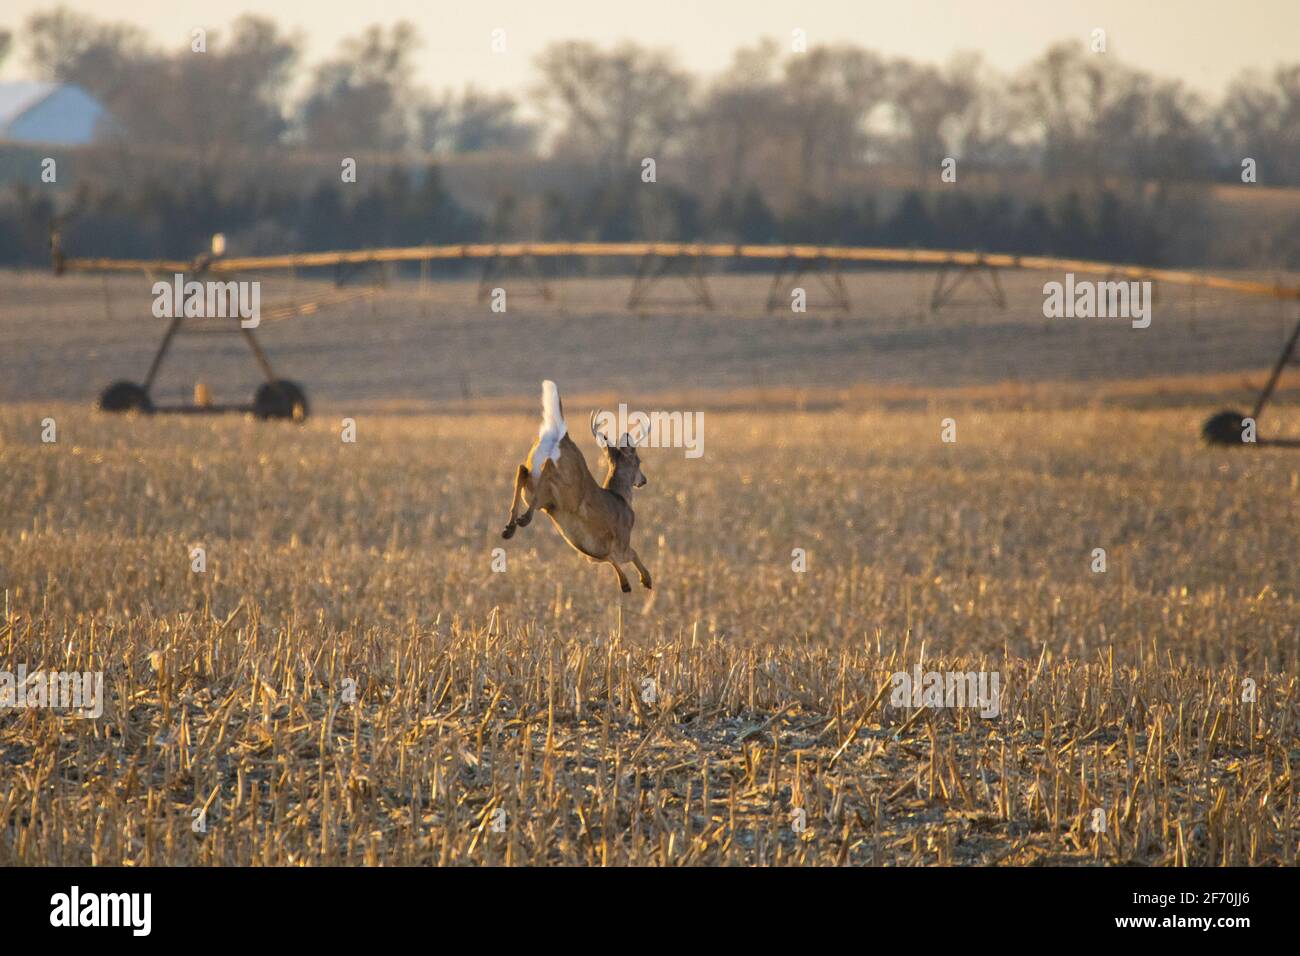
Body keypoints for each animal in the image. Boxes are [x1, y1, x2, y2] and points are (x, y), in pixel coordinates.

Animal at [501, 380, 652, 593]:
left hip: (533, 486)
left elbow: (607, 558)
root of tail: (561, 435)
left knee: (522, 470)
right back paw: (523, 519)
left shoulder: (591, 552)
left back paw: (510, 527)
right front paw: (645, 580)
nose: (643, 480)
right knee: (547, 467)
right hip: (568, 492)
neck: (620, 497)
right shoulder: (622, 539)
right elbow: (631, 554)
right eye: (639, 461)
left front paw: (626, 583)